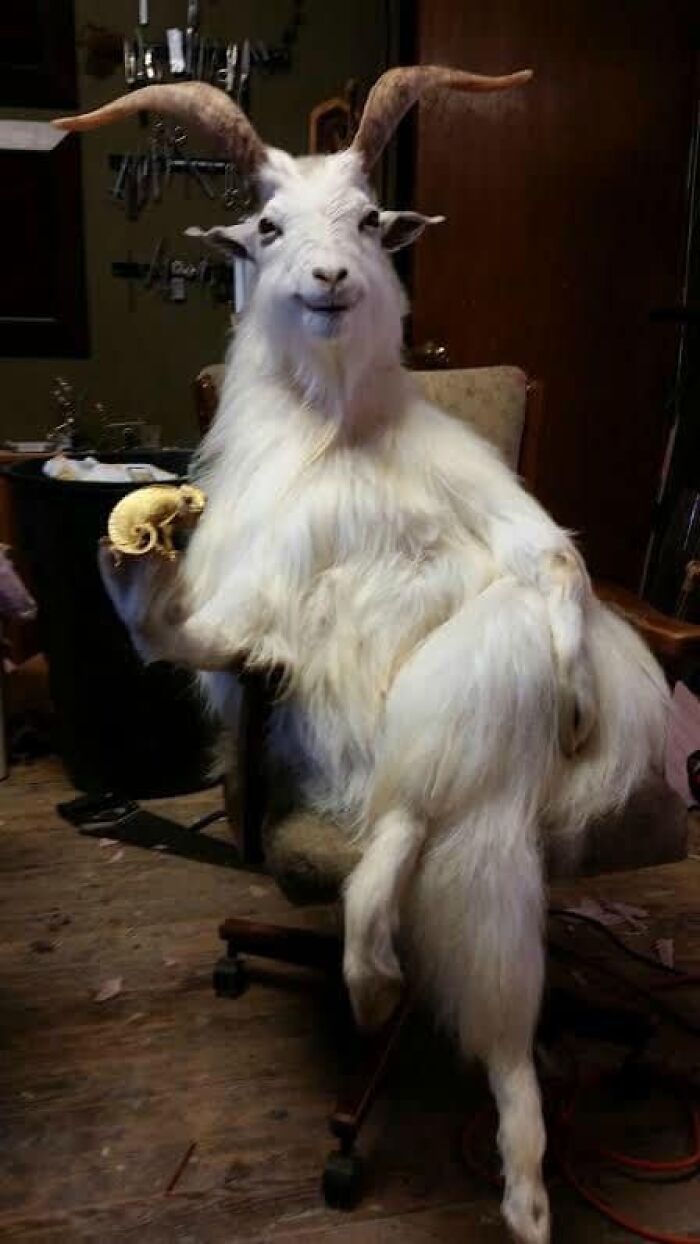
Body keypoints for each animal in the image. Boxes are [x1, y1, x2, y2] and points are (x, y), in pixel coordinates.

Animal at [56, 68, 669, 1244]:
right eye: (266, 226)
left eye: (372, 218)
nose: (332, 279)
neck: (339, 429)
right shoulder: (256, 618)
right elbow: (195, 636)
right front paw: (136, 551)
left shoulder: (512, 522)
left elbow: (557, 565)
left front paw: (576, 687)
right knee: (409, 832)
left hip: (464, 724)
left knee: (425, 815)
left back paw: (505, 1149)